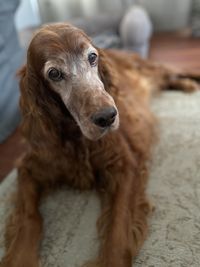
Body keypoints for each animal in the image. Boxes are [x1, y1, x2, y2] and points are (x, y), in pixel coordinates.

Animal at [1, 23, 198, 267]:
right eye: (54, 73)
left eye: (92, 57)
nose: (108, 117)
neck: (76, 137)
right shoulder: (30, 167)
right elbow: (29, 217)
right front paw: (21, 256)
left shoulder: (125, 165)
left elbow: (118, 229)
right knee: (170, 78)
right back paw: (186, 85)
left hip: (153, 67)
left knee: (178, 70)